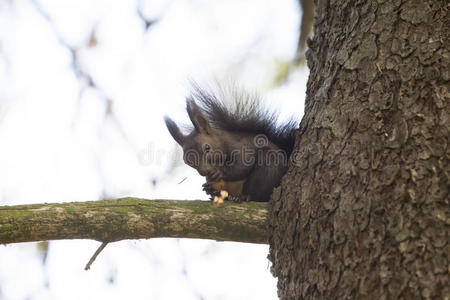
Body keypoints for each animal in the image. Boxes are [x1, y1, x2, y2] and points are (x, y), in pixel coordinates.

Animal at [163, 85, 298, 202]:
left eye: (207, 148)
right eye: (187, 161)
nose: (204, 172)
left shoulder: (242, 146)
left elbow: (242, 165)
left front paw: (221, 172)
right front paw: (209, 187)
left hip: (269, 167)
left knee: (258, 193)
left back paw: (244, 197)